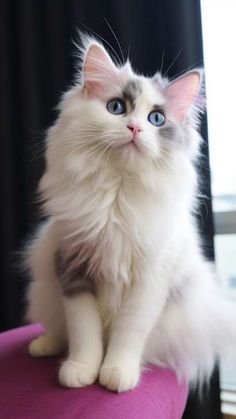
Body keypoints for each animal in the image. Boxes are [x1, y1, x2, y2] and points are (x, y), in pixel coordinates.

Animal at [24, 33, 235, 394]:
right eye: (116, 108)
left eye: (156, 119)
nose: (135, 128)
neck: (117, 195)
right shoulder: (72, 267)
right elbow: (83, 331)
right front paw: (81, 371)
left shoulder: (150, 280)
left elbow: (129, 331)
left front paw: (117, 373)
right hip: (46, 291)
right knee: (58, 329)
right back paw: (43, 346)